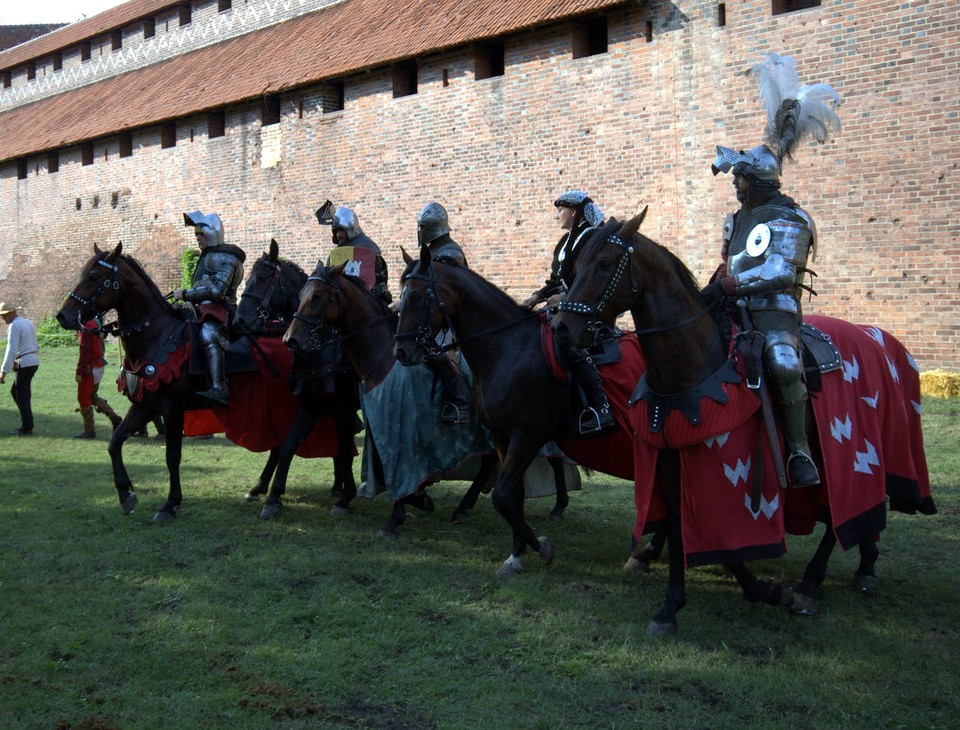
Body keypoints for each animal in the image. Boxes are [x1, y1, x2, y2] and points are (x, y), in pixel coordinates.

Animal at [54, 242, 338, 520]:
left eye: (94, 277)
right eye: (83, 274)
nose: (62, 316)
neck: (157, 334)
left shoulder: (172, 407)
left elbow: (172, 455)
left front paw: (170, 503)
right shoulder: (145, 405)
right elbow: (114, 442)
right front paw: (126, 495)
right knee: (281, 443)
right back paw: (260, 489)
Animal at [235, 242, 360, 520]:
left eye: (262, 278)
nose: (238, 322)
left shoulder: (341, 408)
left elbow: (344, 448)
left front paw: (346, 494)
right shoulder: (311, 405)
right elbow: (287, 444)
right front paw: (270, 494)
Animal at [282, 262, 572, 536]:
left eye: (317, 296)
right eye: (301, 294)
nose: (290, 339)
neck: (382, 354)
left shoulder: (394, 426)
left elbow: (395, 466)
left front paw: (397, 514)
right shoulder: (372, 419)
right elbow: (377, 461)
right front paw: (415, 500)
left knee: (550, 458)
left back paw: (557, 507)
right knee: (491, 463)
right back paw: (465, 507)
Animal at [552, 209, 932, 632]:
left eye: (604, 264)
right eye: (577, 265)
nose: (561, 327)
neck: (696, 359)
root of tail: (880, 337)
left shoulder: (733, 470)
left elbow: (726, 543)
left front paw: (767, 591)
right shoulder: (671, 456)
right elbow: (679, 523)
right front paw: (670, 605)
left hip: (847, 451)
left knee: (841, 507)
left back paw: (810, 585)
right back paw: (865, 566)